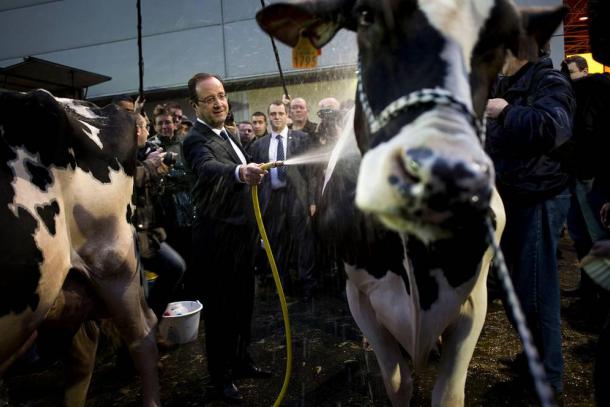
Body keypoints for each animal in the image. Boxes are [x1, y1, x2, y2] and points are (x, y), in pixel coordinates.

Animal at [258, 1, 564, 406]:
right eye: (367, 17)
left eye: (498, 38)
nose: (440, 168)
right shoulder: (359, 294)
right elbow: (397, 382)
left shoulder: (474, 298)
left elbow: (448, 395)